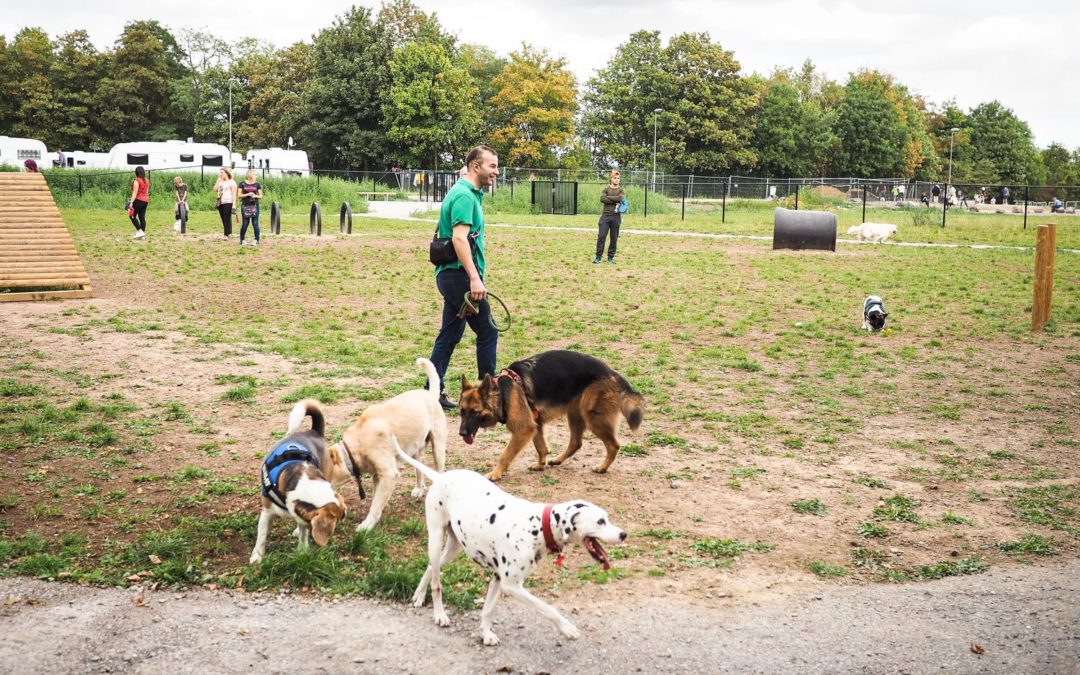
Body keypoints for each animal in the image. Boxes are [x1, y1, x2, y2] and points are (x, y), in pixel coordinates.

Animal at [330, 356, 444, 529]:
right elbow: (376, 499)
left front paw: (367, 525)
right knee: (419, 470)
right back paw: (419, 489)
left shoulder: (388, 474)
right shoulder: (377, 475)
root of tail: (430, 394)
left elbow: (376, 504)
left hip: (438, 448)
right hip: (415, 451)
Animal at [455, 349, 639, 481]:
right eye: (461, 412)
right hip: (575, 415)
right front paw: (540, 464)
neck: (502, 393)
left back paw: (602, 467)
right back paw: (557, 460)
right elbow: (541, 447)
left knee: (613, 445)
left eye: (475, 412)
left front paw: (496, 473)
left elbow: (505, 455)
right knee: (576, 443)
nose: (461, 433)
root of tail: (611, 373)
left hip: (593, 419)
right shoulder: (536, 425)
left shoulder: (524, 429)